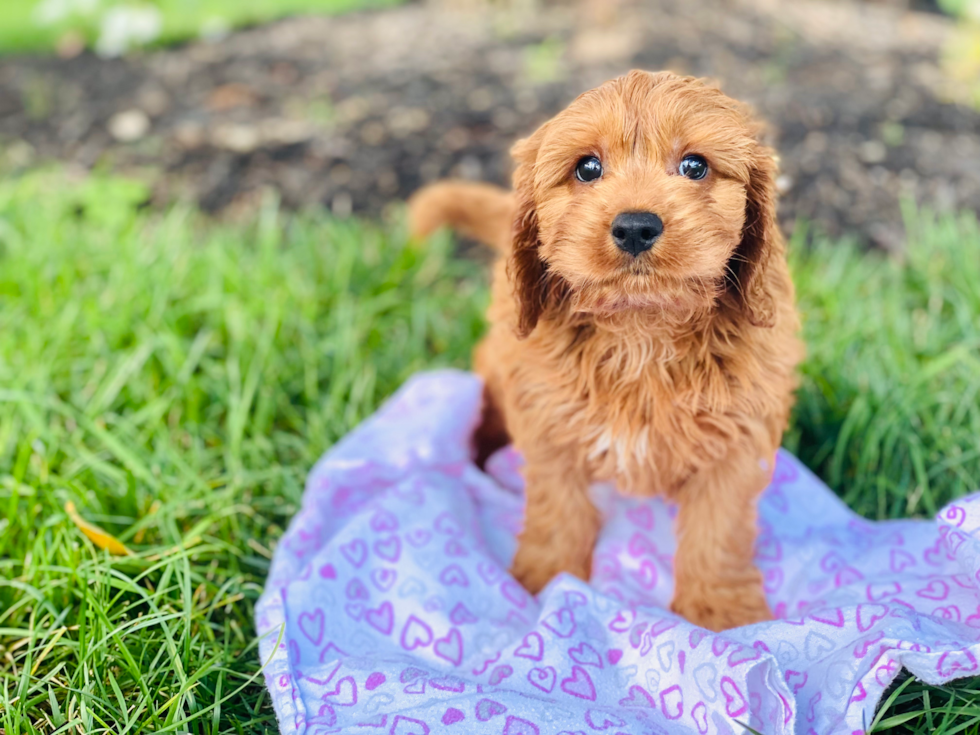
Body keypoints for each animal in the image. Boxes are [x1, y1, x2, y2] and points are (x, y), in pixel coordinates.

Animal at [410, 70, 800, 632]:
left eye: (695, 166)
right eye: (587, 168)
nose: (636, 226)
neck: (641, 331)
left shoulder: (739, 439)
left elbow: (719, 529)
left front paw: (719, 612)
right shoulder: (548, 421)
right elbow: (558, 508)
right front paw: (545, 581)